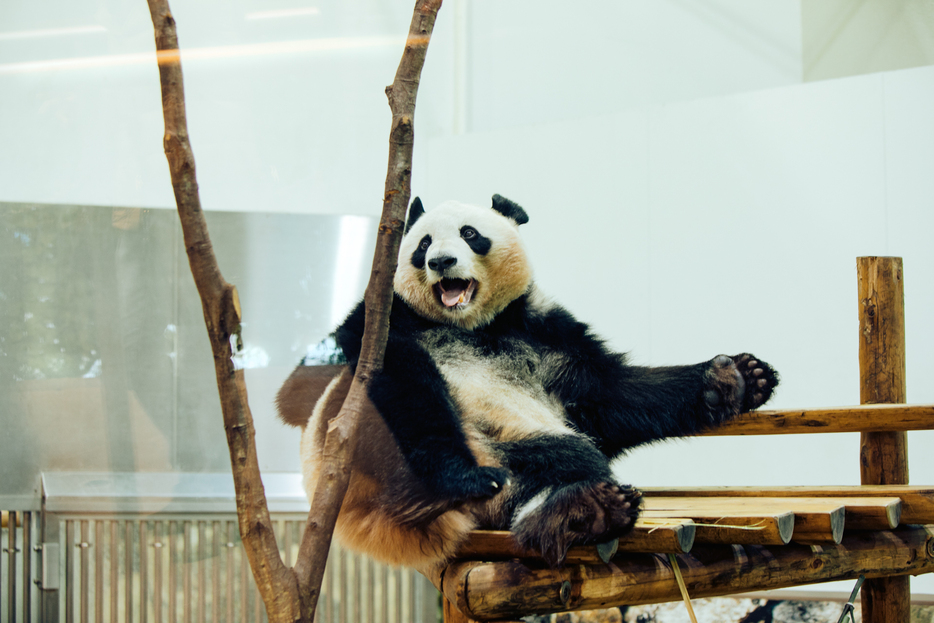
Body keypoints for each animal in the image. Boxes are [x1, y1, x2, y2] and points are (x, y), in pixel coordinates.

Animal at [276, 194, 776, 572]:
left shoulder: (543, 330)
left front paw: (737, 377)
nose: (441, 261)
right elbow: (393, 377)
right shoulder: (384, 321)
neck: (476, 325)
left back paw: (587, 510)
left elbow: (612, 393)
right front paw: (462, 475)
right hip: (369, 452)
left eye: (470, 234)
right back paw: (569, 508)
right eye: (423, 243)